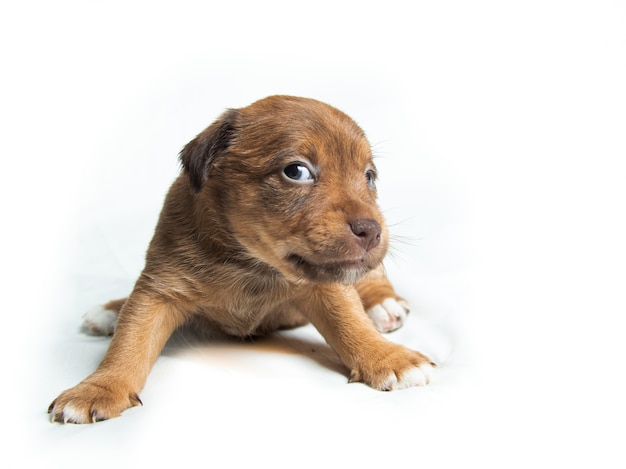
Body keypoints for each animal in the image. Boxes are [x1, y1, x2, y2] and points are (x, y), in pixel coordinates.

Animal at [48, 96, 434, 424]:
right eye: (296, 171)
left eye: (368, 176)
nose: (372, 230)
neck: (249, 263)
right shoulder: (159, 289)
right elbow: (130, 342)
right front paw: (98, 387)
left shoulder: (327, 285)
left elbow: (350, 322)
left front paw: (388, 358)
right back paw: (111, 310)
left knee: (374, 280)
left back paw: (384, 306)